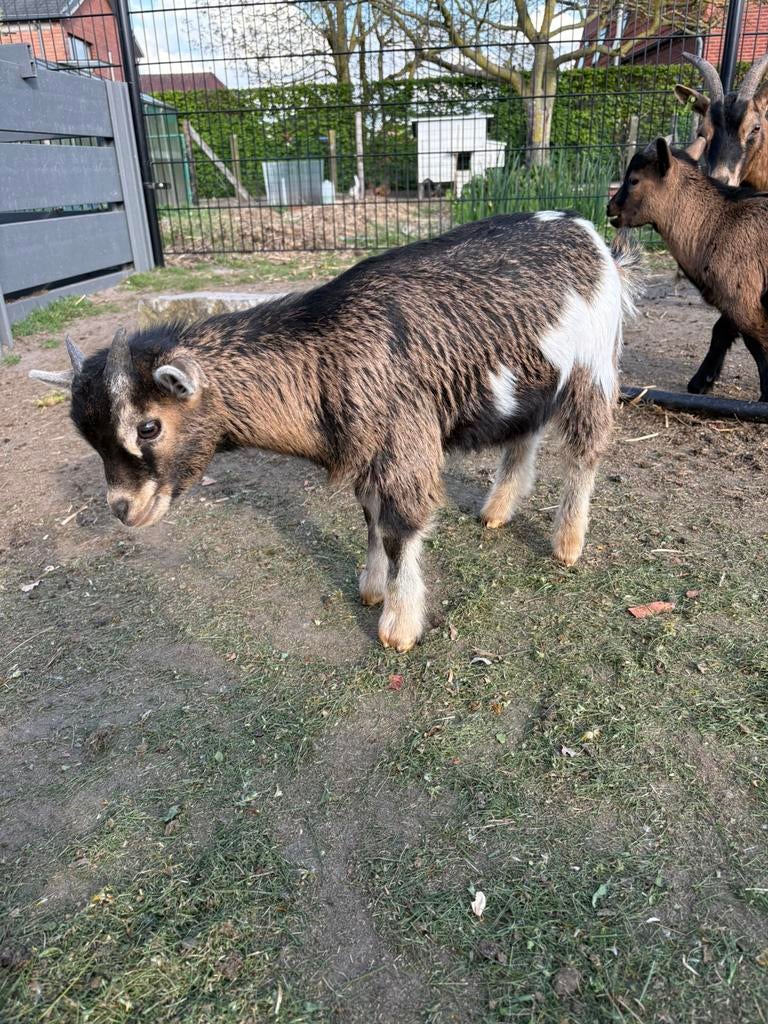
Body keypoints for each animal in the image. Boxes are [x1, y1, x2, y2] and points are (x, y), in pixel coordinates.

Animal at [30, 214, 639, 652]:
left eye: (149, 425)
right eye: (88, 437)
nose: (123, 509)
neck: (325, 354)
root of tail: (590, 236)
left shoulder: (403, 442)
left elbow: (400, 528)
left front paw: (398, 624)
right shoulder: (366, 448)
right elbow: (369, 516)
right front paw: (371, 588)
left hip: (593, 365)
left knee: (586, 448)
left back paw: (567, 543)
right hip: (533, 378)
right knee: (525, 433)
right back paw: (498, 509)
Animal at [608, 138, 768, 401]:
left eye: (634, 180)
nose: (610, 208)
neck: (717, 223)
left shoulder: (743, 298)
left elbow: (758, 344)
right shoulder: (737, 297)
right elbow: (721, 332)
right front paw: (701, 382)